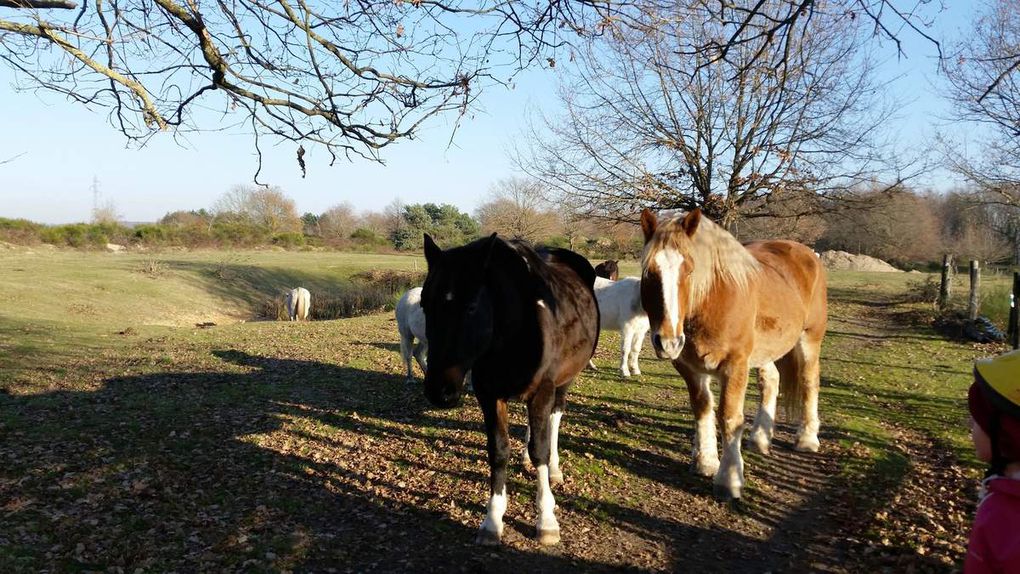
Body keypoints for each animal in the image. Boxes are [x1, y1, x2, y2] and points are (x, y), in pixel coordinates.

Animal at [420, 232, 599, 542]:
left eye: (471, 307)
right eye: (423, 305)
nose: (439, 390)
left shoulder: (542, 390)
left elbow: (540, 447)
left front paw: (546, 519)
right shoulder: (489, 394)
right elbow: (499, 450)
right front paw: (492, 520)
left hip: (564, 381)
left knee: (554, 418)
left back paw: (554, 469)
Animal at [636, 210, 828, 499]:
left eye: (689, 270)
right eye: (649, 273)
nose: (667, 342)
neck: (712, 300)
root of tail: (807, 254)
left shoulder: (734, 365)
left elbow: (729, 417)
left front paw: (729, 479)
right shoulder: (689, 367)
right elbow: (702, 408)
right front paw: (706, 462)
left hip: (809, 339)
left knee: (809, 381)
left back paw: (806, 439)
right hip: (765, 350)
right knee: (770, 381)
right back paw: (760, 438)